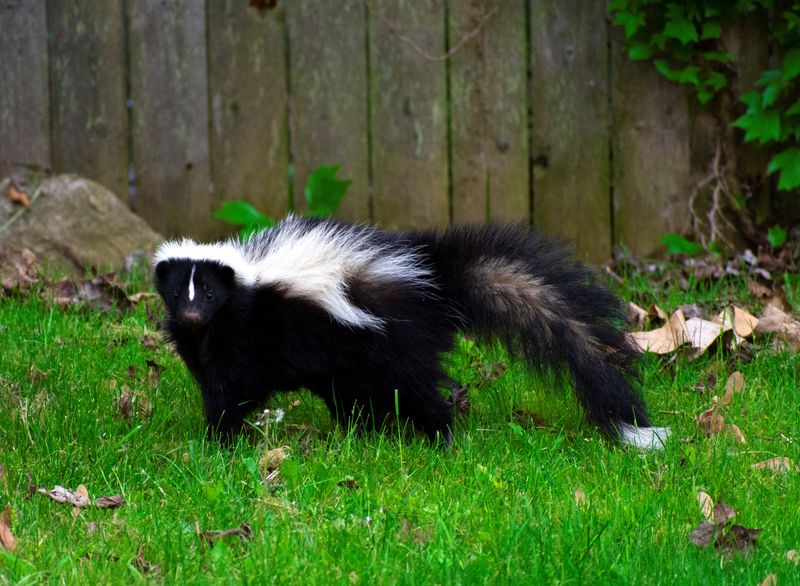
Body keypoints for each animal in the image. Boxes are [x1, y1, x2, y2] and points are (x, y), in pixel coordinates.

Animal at [155, 214, 668, 448]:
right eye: (180, 293)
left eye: (209, 294)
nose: (193, 316)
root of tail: (437, 284)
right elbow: (217, 386)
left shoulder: (245, 339)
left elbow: (231, 391)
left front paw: (218, 440)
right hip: (356, 366)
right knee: (357, 399)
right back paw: (363, 434)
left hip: (394, 349)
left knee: (421, 393)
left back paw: (442, 439)